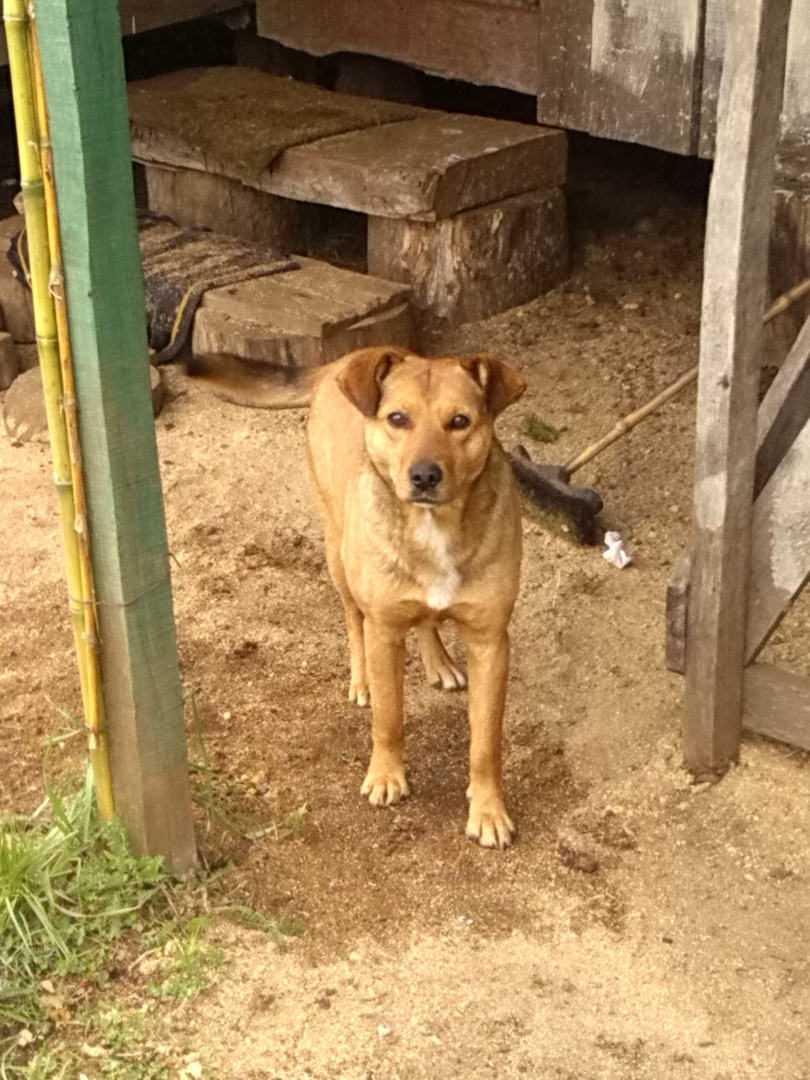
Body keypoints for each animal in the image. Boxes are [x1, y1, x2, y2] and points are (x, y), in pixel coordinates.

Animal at [187, 349, 529, 846]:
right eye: (398, 418)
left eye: (460, 422)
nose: (424, 476)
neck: (434, 527)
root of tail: (342, 360)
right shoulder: (384, 629)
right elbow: (388, 717)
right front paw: (386, 775)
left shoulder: (490, 642)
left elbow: (485, 742)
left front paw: (488, 810)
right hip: (339, 553)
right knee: (354, 620)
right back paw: (362, 679)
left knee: (422, 619)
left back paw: (438, 662)